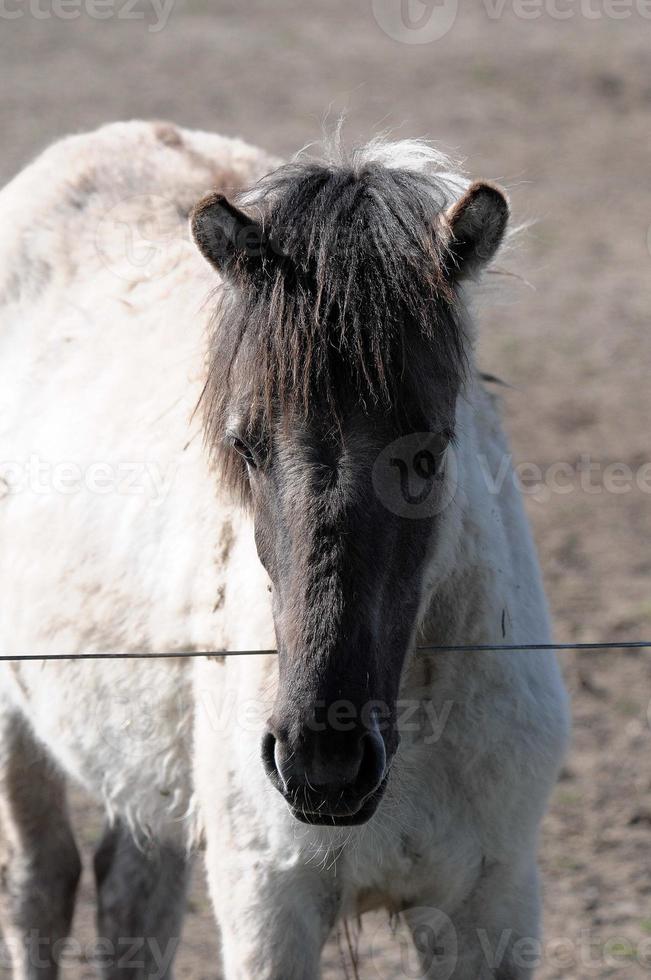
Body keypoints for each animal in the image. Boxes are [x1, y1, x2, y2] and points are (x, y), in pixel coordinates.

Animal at [0, 122, 572, 980]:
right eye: (245, 447)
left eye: (429, 452)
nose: (322, 756)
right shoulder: (268, 907)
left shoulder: (493, 908)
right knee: (39, 885)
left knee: (132, 895)